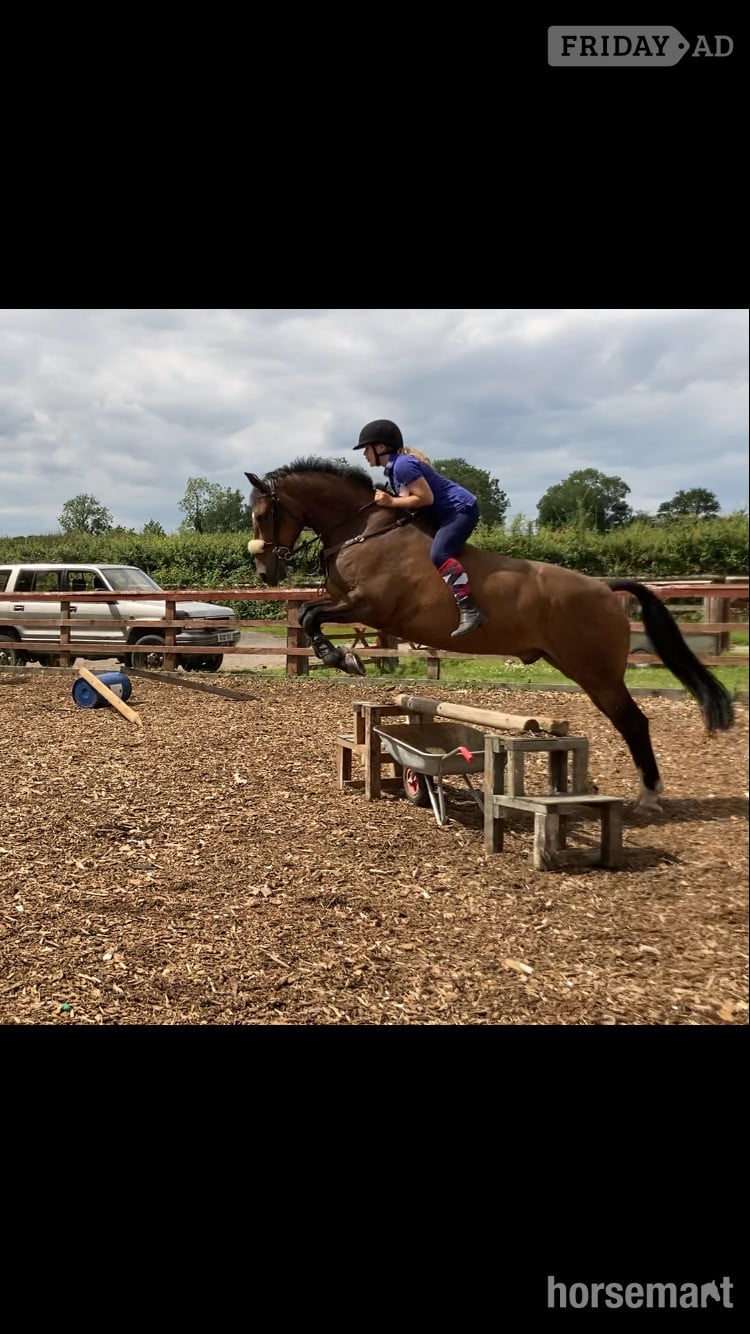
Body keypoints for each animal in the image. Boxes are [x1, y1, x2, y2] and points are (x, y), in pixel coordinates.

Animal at [245, 458, 734, 811]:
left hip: (597, 672)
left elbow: (310, 617)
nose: (266, 571)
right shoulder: (354, 607)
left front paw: (343, 658)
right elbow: (309, 615)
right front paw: (343, 657)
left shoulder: (370, 607)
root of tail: (604, 588)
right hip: (578, 666)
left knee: (633, 722)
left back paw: (649, 795)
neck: (364, 532)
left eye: (264, 514)